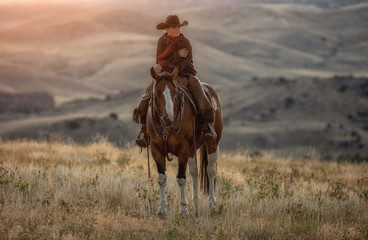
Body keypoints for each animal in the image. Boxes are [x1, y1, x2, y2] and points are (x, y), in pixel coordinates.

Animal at [146, 67, 221, 216]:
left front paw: (183, 209)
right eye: (157, 92)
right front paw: (161, 208)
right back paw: (196, 203)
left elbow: (181, 179)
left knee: (210, 171)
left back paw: (212, 204)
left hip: (213, 144)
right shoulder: (156, 149)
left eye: (175, 93)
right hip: (192, 150)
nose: (168, 118)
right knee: (194, 171)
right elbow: (161, 179)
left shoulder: (182, 149)